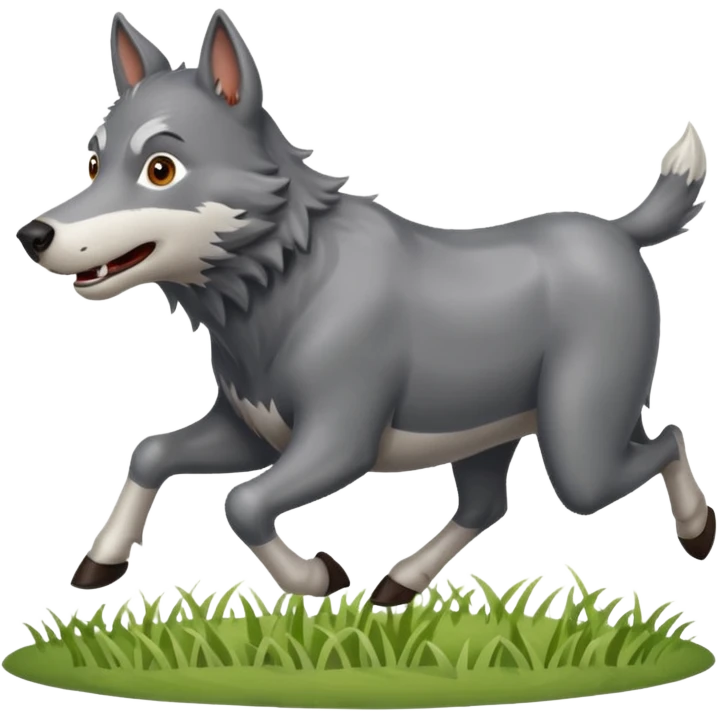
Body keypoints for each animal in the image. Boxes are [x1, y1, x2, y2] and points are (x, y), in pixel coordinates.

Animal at [17, 9, 714, 605]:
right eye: (94, 161)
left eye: (161, 168)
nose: (32, 235)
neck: (280, 281)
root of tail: (618, 232)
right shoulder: (252, 432)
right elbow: (151, 453)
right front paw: (102, 560)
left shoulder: (339, 440)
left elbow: (243, 504)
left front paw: (317, 577)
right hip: (490, 424)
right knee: (489, 504)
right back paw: (401, 583)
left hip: (578, 445)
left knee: (666, 440)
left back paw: (698, 528)